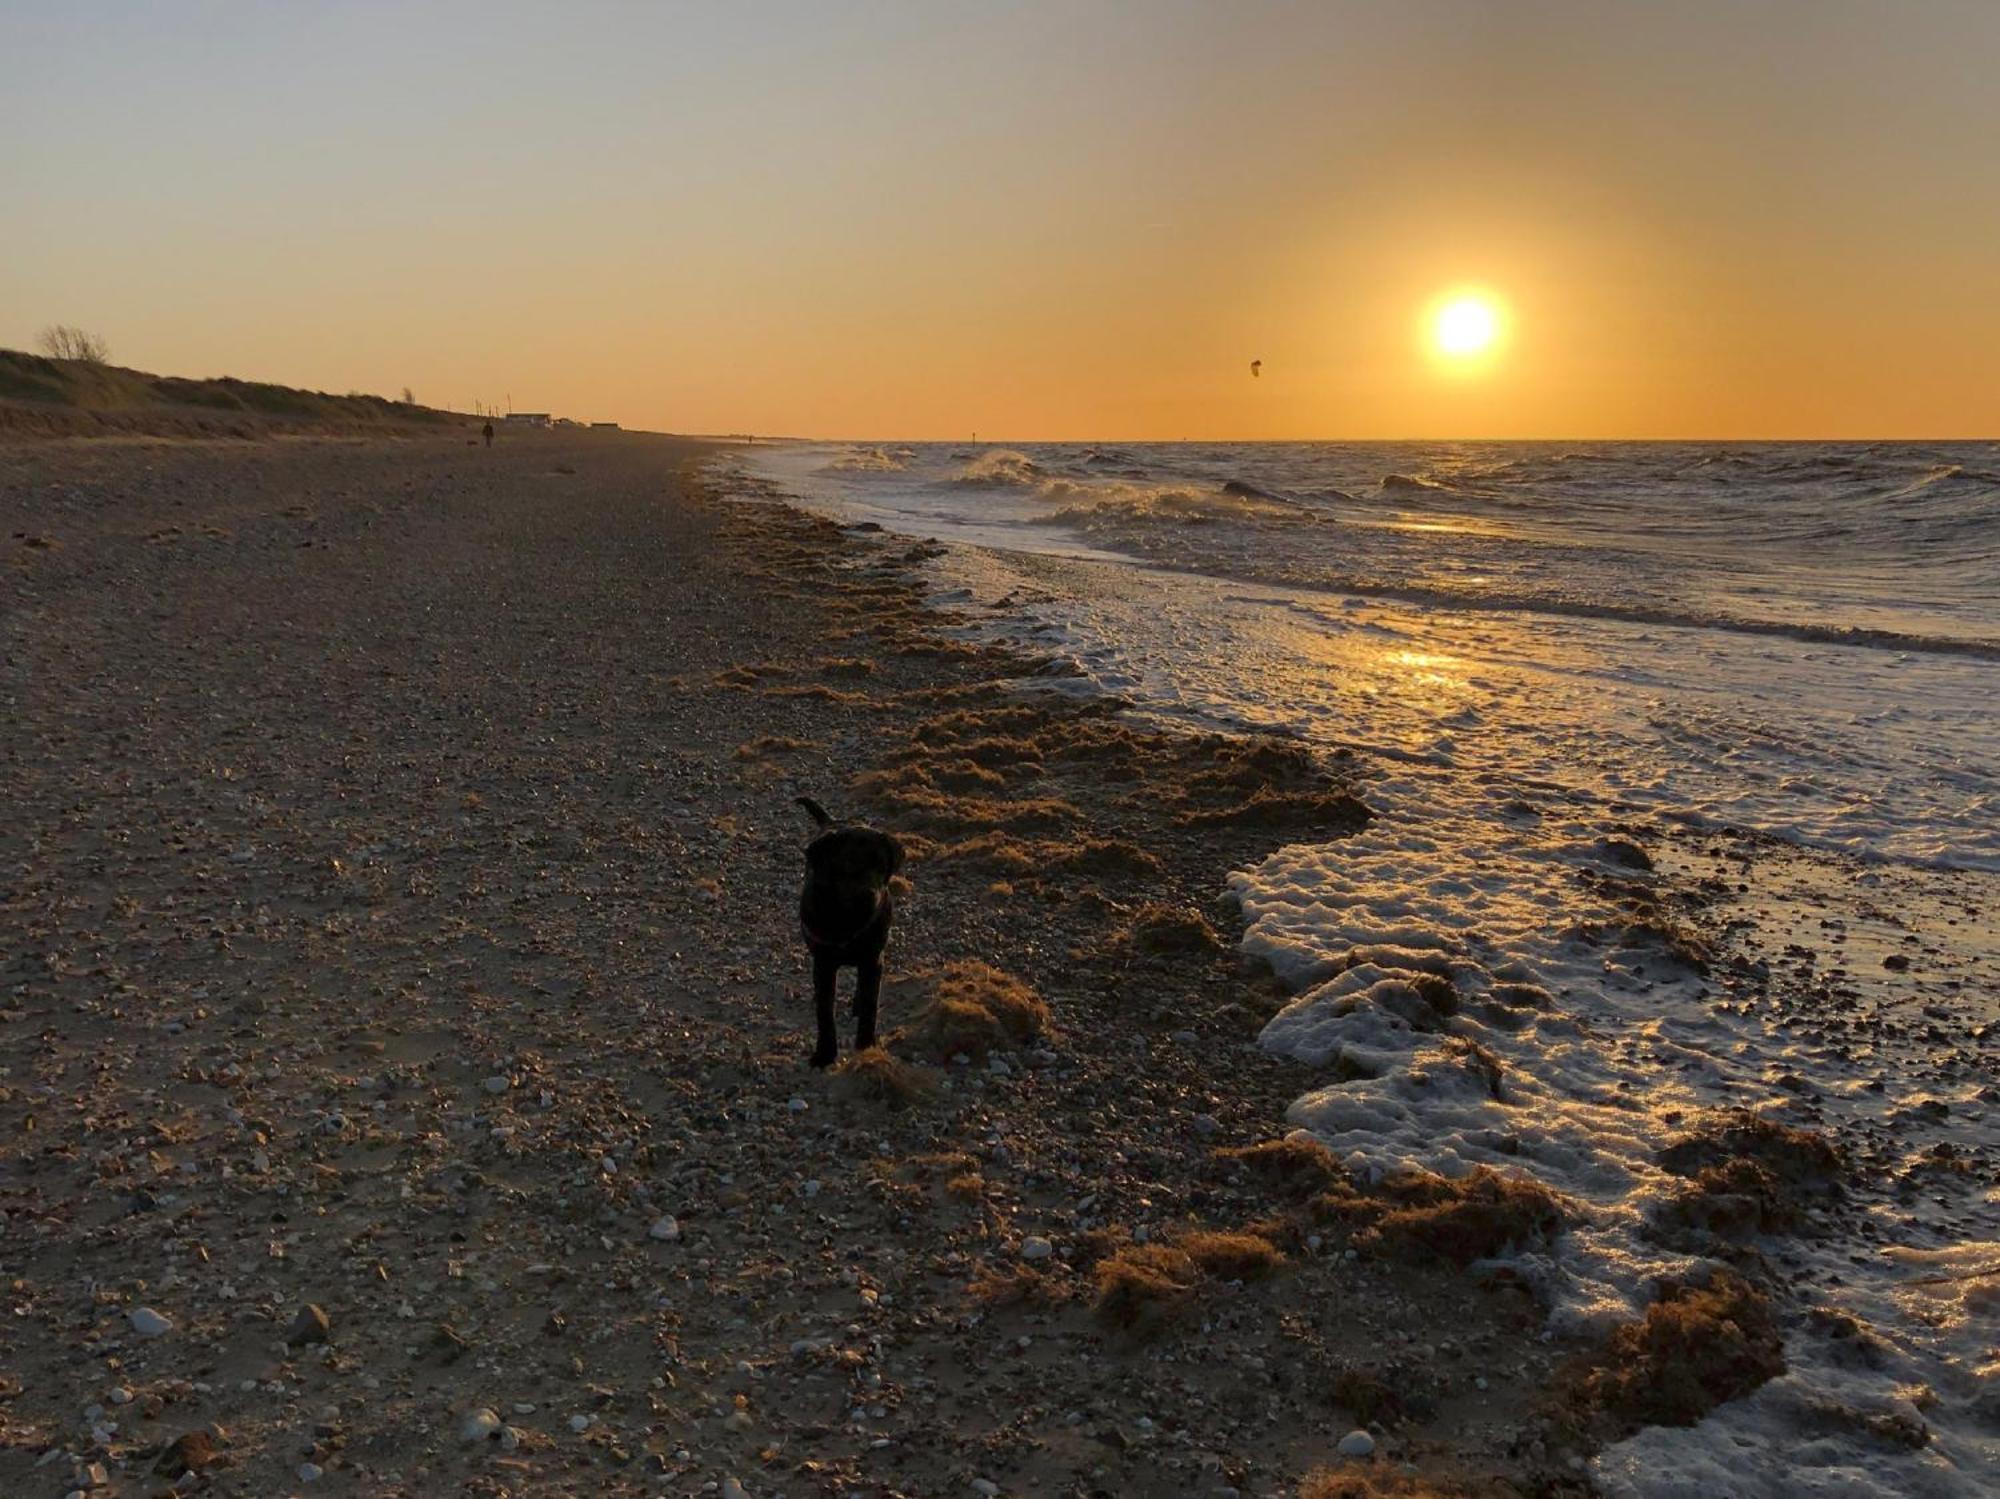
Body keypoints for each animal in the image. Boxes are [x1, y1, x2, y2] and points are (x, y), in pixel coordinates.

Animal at [792, 799, 904, 1071]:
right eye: (847, 864)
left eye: (881, 866)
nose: (870, 896)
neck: (847, 920)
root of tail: (833, 822)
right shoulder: (824, 963)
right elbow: (825, 1011)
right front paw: (824, 1054)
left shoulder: (873, 958)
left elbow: (870, 1006)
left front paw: (865, 1046)